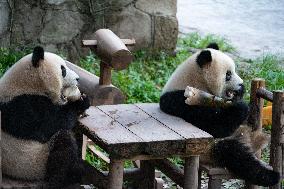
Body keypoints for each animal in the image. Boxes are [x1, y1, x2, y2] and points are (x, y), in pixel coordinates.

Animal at [0, 46, 90, 188]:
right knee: (63, 143)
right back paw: (67, 177)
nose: (78, 78)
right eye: (63, 70)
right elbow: (53, 124)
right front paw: (81, 102)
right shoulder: (24, 107)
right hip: (34, 162)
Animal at [160, 43, 280, 187]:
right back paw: (270, 176)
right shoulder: (181, 101)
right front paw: (240, 107)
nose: (241, 85)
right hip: (210, 150)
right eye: (228, 74)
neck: (195, 80)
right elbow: (214, 126)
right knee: (235, 154)